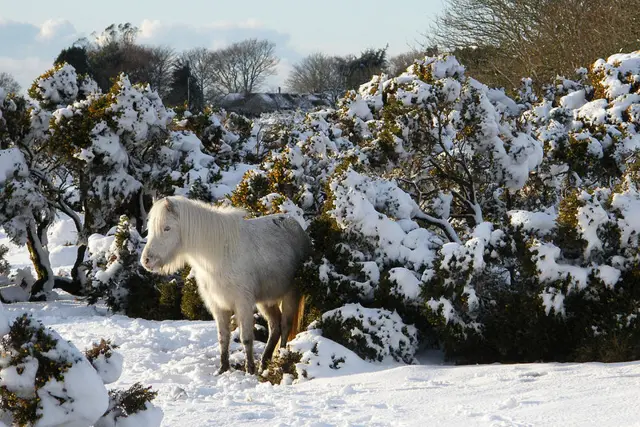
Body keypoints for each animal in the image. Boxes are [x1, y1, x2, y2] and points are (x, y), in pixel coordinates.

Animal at [140, 196, 310, 374]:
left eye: (167, 228)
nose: (146, 260)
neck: (218, 255)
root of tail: (297, 227)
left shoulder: (243, 304)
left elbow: (246, 338)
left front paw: (249, 370)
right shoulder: (218, 305)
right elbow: (223, 338)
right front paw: (223, 369)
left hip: (291, 294)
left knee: (284, 326)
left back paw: (279, 361)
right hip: (266, 301)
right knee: (274, 327)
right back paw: (264, 363)